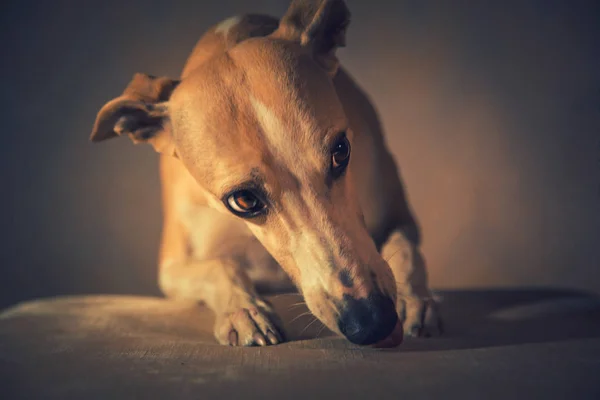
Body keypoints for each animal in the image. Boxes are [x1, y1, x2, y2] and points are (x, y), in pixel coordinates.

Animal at [91, 0, 442, 346]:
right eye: (243, 200)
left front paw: (415, 299)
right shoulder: (172, 267)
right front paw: (244, 311)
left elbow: (405, 247)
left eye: (341, 151)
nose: (372, 322)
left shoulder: (397, 215)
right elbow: (219, 266)